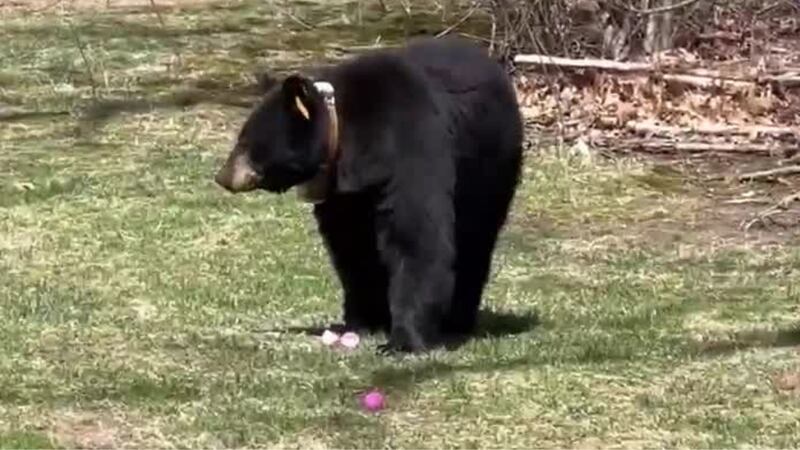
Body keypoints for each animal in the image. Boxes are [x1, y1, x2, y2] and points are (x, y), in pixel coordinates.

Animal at [214, 36, 524, 354]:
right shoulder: (344, 192)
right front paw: (361, 320)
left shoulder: (412, 147)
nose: (222, 177)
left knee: (475, 236)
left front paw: (402, 340)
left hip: (491, 165)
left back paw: (457, 320)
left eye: (245, 142)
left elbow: (417, 234)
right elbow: (352, 246)